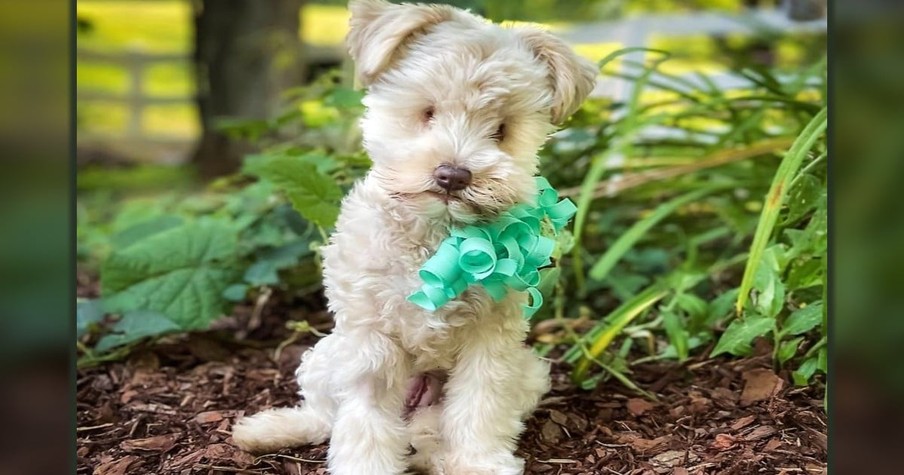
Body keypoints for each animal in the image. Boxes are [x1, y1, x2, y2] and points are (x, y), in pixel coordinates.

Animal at [235, 1, 600, 474]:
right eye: (427, 111)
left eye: (502, 129)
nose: (453, 175)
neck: (436, 240)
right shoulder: (370, 341)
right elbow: (365, 420)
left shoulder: (492, 340)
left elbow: (480, 405)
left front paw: (478, 461)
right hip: (325, 356)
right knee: (323, 416)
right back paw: (268, 430)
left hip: (527, 371)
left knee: (427, 430)